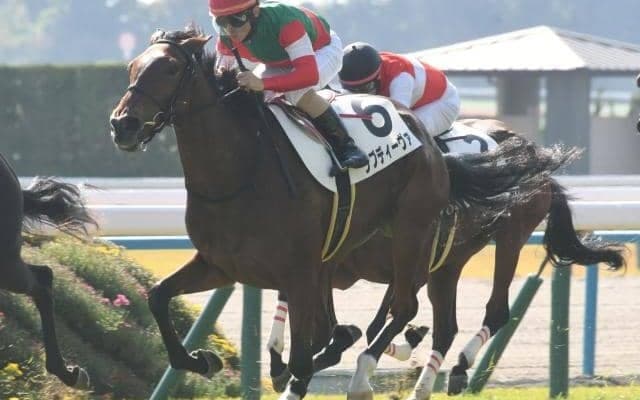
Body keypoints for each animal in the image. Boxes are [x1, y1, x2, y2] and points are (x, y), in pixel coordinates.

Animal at [108, 27, 576, 400]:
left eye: (170, 70)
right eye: (132, 67)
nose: (122, 125)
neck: (241, 173)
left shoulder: (306, 269)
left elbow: (313, 346)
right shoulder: (226, 265)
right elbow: (158, 296)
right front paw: (204, 360)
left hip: (462, 235)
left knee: (461, 310)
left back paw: (389, 373)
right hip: (446, 260)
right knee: (440, 323)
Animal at [266, 120, 625, 399]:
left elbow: (347, 328)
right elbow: (342, 323)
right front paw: (282, 365)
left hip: (511, 235)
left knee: (495, 311)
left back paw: (459, 367)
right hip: (449, 261)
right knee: (445, 327)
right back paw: (423, 383)